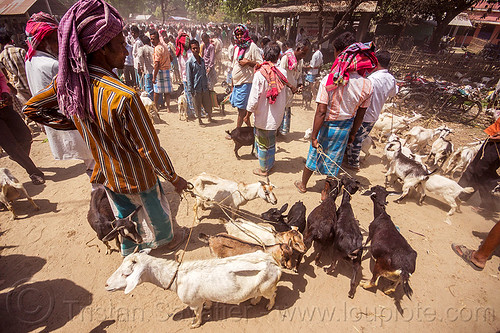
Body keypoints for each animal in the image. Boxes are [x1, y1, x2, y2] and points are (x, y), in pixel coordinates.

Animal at [105, 249, 282, 326]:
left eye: (126, 274)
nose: (106, 285)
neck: (178, 277)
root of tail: (274, 262)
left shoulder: (193, 302)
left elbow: (197, 314)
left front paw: (195, 324)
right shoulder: (201, 297)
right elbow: (207, 303)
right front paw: (209, 307)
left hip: (267, 287)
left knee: (273, 295)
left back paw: (268, 305)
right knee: (258, 294)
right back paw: (254, 301)